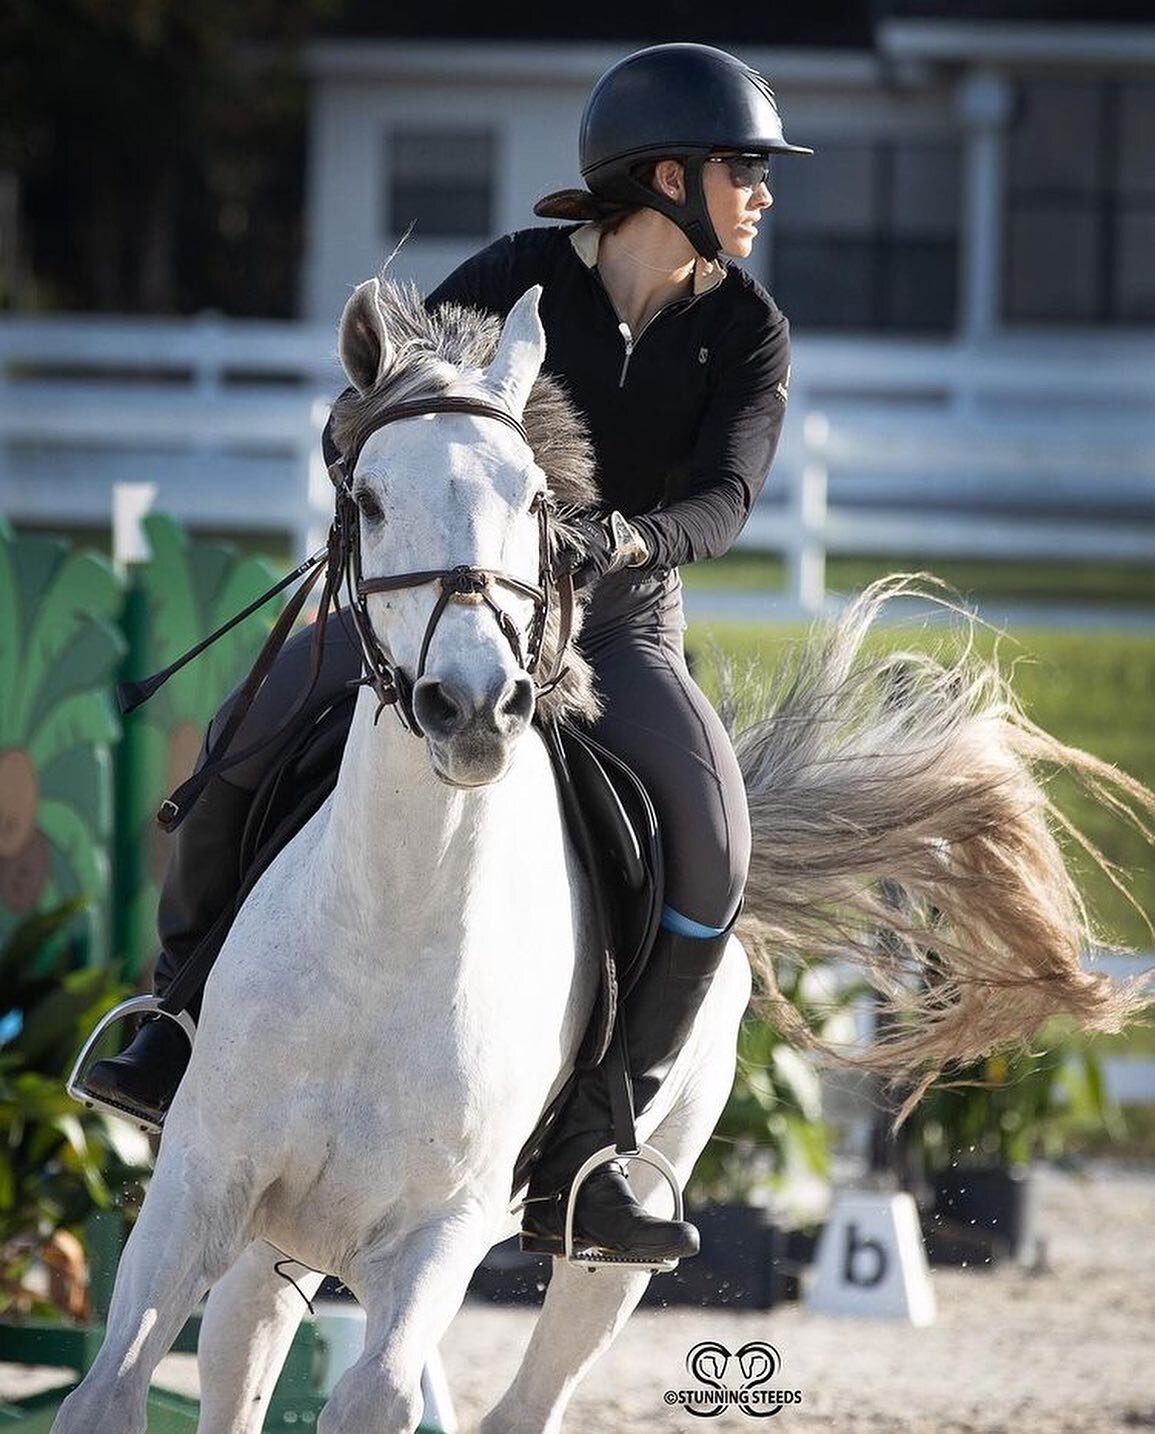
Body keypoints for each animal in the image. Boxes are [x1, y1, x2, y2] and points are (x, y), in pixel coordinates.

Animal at [56, 282, 1153, 1434]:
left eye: (536, 501)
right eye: (371, 501)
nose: (473, 709)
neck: (392, 928)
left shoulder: (438, 1234)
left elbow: (382, 1392)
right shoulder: (198, 1188)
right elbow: (109, 1390)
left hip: (602, 1250)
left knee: (530, 1386)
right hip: (281, 1230)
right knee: (243, 1356)